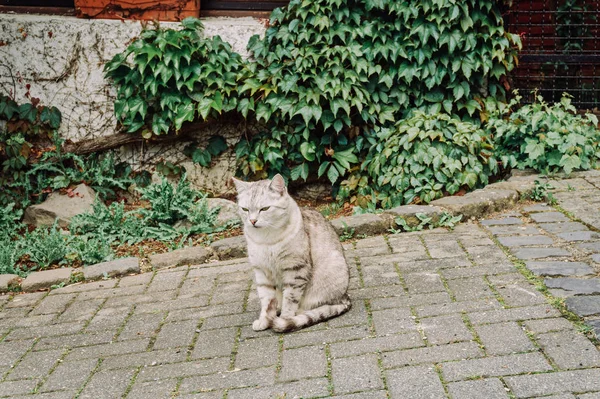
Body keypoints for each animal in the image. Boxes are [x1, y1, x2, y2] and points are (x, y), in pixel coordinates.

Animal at [231, 175, 352, 334]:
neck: (265, 239)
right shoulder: (262, 271)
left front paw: (284, 319)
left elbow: (290, 299)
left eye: (264, 209)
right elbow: (266, 299)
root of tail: (345, 296)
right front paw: (264, 320)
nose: (252, 221)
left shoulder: (296, 269)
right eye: (245, 209)